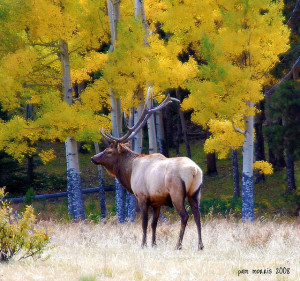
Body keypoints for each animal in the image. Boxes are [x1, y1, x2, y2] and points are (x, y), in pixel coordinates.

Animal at [91, 89, 204, 249]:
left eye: (109, 151)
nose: (93, 158)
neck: (130, 172)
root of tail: (195, 171)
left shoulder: (142, 196)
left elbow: (144, 223)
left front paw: (143, 244)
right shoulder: (157, 201)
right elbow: (154, 224)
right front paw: (153, 244)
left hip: (176, 192)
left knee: (185, 216)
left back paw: (178, 245)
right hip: (195, 193)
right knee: (198, 215)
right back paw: (200, 245)